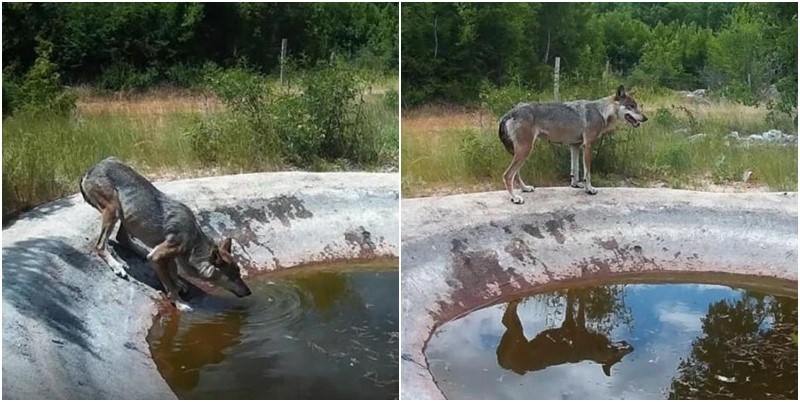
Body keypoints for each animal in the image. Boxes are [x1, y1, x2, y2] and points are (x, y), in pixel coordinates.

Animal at [79, 157, 252, 310]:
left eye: (239, 274)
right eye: (235, 276)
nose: (249, 292)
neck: (193, 244)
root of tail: (91, 169)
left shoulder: (167, 256)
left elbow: (173, 271)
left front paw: (179, 283)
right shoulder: (159, 256)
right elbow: (169, 284)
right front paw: (180, 303)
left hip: (125, 214)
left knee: (122, 238)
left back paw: (141, 252)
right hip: (113, 210)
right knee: (100, 245)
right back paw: (116, 265)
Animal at [496, 86, 648, 203]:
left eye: (636, 106)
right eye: (631, 106)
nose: (645, 118)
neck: (602, 111)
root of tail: (509, 113)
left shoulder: (575, 146)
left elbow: (575, 169)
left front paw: (575, 185)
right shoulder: (588, 146)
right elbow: (587, 172)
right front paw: (589, 189)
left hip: (519, 153)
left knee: (516, 174)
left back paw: (525, 188)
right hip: (525, 151)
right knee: (507, 175)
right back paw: (515, 198)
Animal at [496, 296, 636, 376]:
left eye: (624, 342)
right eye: (616, 354)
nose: (631, 347)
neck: (592, 349)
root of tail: (504, 366)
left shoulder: (571, 323)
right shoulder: (574, 323)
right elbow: (578, 304)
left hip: (515, 334)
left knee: (505, 320)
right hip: (517, 335)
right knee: (507, 317)